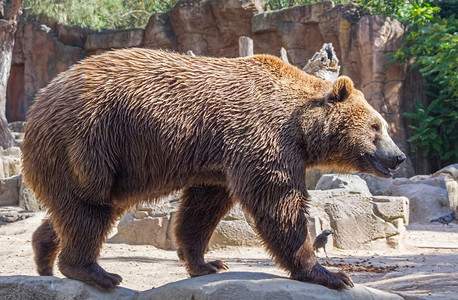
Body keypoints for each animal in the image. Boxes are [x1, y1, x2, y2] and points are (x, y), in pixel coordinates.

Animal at [23, 48, 406, 290]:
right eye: (376, 127)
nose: (398, 157)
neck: (300, 126)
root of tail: (38, 101)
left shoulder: (217, 161)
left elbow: (202, 209)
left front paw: (208, 264)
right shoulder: (261, 137)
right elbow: (278, 202)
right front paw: (329, 274)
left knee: (78, 210)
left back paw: (44, 254)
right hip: (89, 142)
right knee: (88, 205)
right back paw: (95, 272)